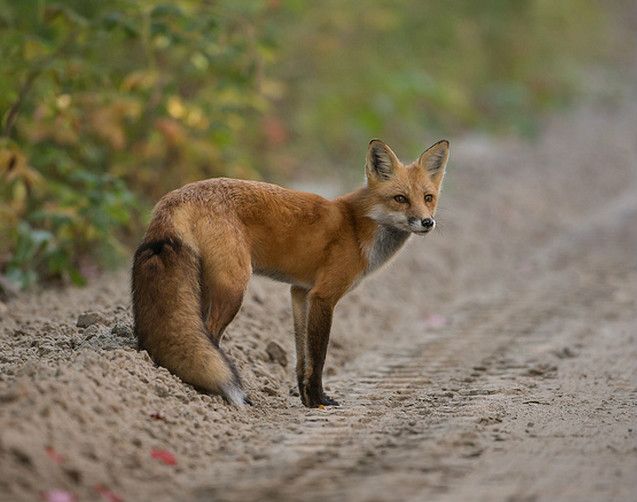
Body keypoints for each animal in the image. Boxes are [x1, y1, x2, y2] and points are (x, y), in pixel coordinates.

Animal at [130, 139, 448, 406]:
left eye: (428, 197)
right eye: (400, 198)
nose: (427, 222)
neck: (357, 229)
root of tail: (173, 198)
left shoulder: (300, 292)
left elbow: (301, 357)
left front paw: (307, 400)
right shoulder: (323, 295)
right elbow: (318, 355)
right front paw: (320, 401)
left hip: (207, 287)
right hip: (234, 288)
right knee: (209, 337)